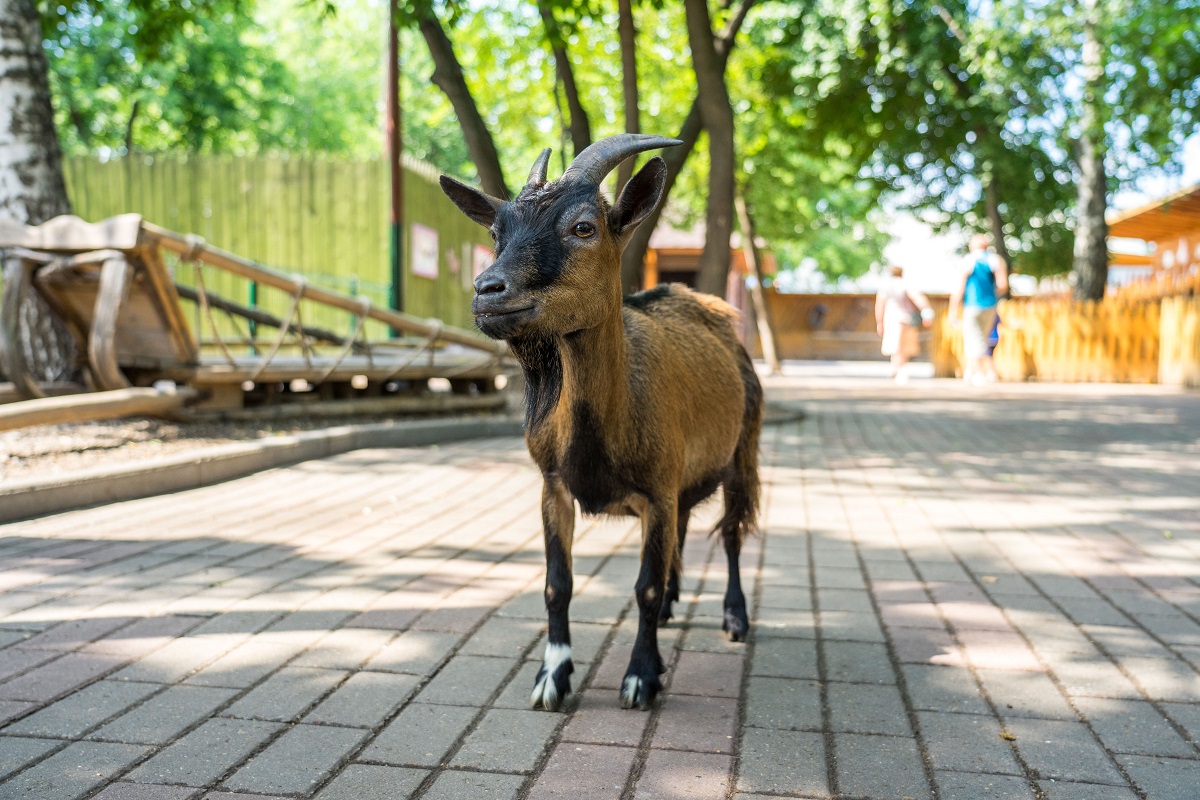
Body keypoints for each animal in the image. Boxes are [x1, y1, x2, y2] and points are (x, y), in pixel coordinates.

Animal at [439, 133, 758, 714]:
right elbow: (557, 584)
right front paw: (553, 676)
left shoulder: (657, 490)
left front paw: (640, 678)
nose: (487, 291)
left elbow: (644, 588)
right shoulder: (554, 486)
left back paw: (734, 617)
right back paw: (676, 605)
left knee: (731, 532)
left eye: (584, 227)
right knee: (684, 534)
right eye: (496, 232)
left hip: (743, 451)